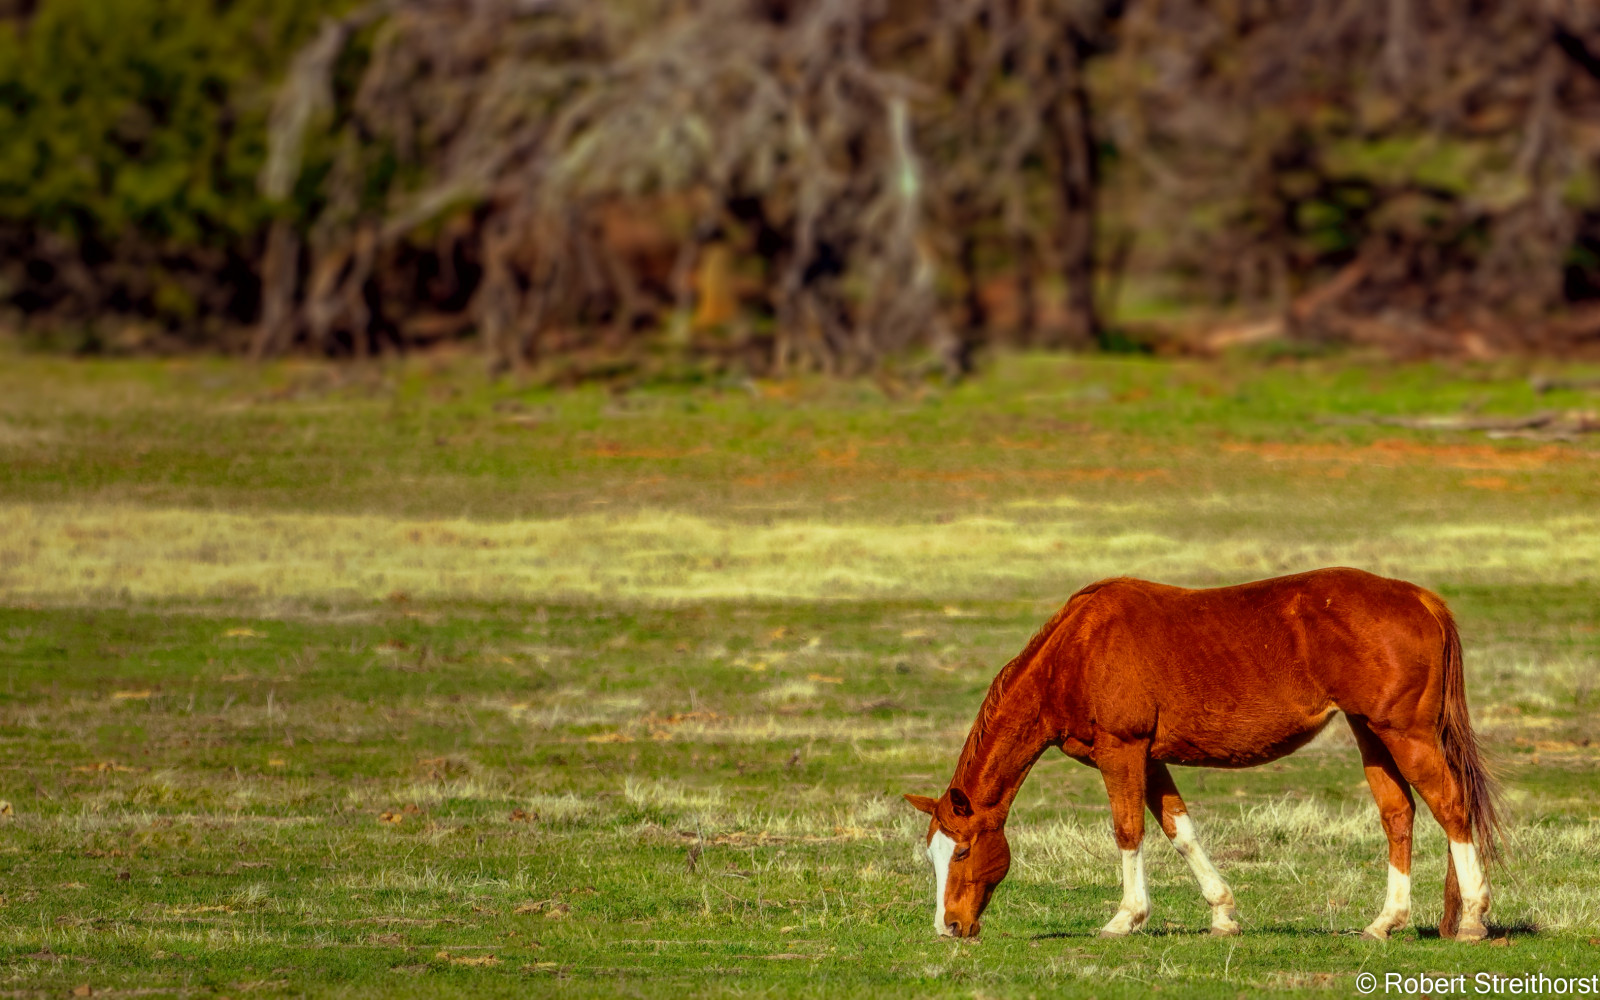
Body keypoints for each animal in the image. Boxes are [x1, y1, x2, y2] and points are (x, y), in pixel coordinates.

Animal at [905, 567, 1501, 942]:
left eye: (962, 851)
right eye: (934, 855)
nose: (948, 927)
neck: (1077, 652)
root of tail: (1418, 598)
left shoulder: (1122, 751)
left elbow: (1128, 831)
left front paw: (1125, 918)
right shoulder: (1149, 759)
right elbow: (1180, 830)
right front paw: (1223, 914)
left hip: (1407, 734)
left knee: (1452, 808)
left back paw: (1472, 918)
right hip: (1372, 735)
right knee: (1399, 815)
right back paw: (1386, 922)